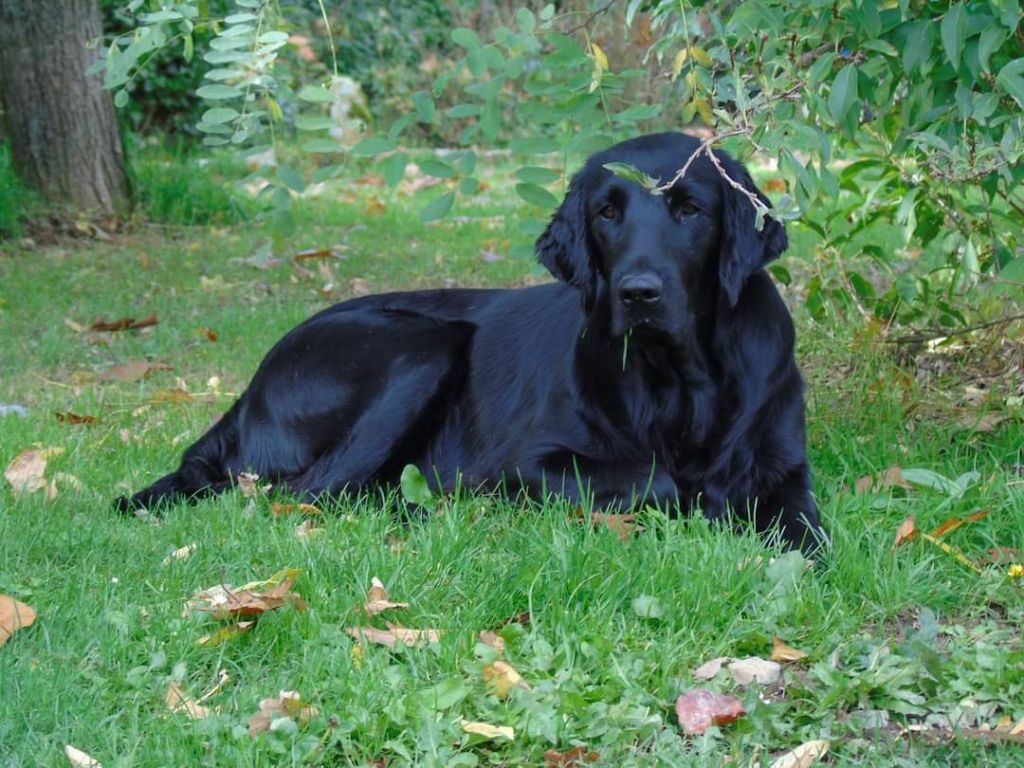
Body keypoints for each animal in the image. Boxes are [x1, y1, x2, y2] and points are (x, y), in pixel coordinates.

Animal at [116, 132, 827, 552]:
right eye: (607, 212)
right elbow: (663, 482)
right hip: (423, 341)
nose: (638, 294)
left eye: (690, 209)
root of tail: (248, 388)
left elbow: (805, 525)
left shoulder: (785, 466)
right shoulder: (530, 461)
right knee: (313, 493)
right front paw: (705, 499)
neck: (680, 382)